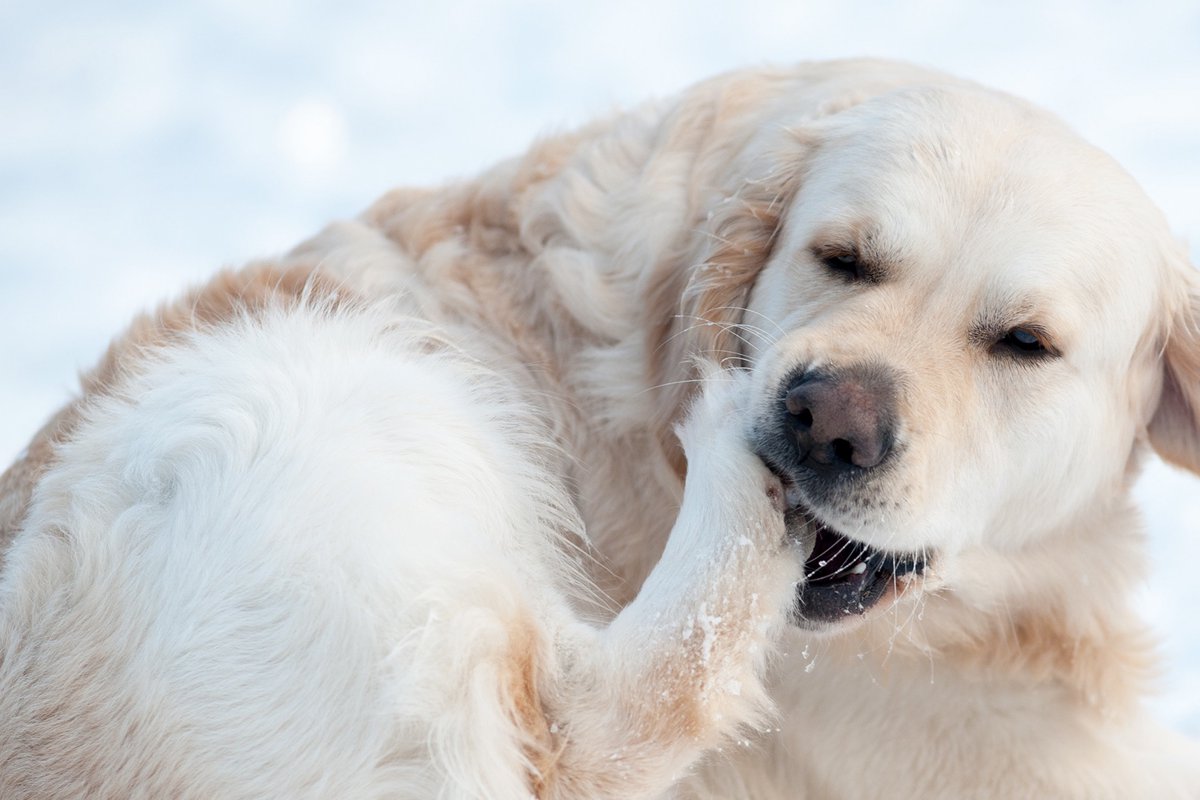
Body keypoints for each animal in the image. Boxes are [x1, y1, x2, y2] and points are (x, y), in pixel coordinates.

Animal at [2, 59, 1200, 796]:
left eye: (1025, 342)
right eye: (843, 257)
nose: (824, 421)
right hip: (299, 394)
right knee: (585, 722)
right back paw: (727, 453)